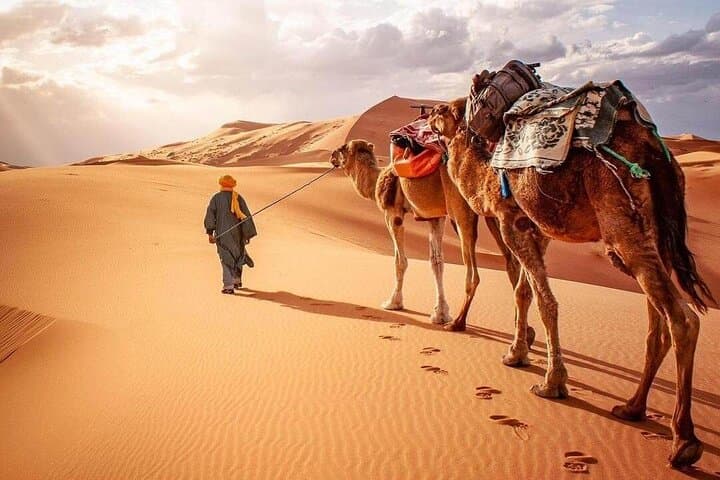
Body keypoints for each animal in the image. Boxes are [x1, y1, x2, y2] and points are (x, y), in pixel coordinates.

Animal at [329, 139, 535, 339]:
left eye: (342, 148)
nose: (332, 156)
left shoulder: (393, 214)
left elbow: (400, 261)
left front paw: (393, 302)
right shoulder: (435, 217)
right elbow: (437, 262)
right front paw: (440, 313)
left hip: (462, 211)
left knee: (474, 273)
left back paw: (459, 323)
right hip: (494, 212)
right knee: (513, 263)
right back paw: (525, 332)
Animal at [428, 97, 715, 467]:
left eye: (445, 111)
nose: (426, 114)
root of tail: (653, 149)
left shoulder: (511, 221)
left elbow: (545, 301)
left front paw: (551, 382)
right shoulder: (537, 228)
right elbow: (523, 291)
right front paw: (517, 353)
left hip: (624, 226)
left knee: (683, 320)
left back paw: (684, 442)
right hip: (651, 236)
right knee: (658, 325)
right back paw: (632, 408)